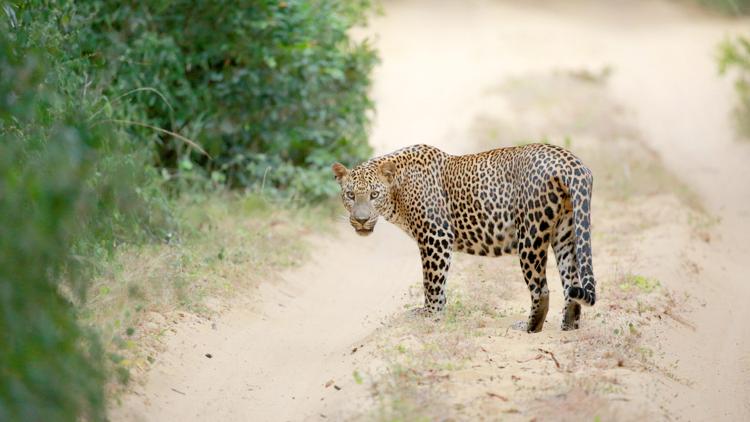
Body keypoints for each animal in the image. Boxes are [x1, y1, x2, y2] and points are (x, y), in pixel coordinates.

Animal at [334, 143, 600, 332]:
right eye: (350, 195)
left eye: (374, 194)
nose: (361, 219)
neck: (397, 190)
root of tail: (570, 162)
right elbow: (439, 283)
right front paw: (439, 314)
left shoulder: (435, 235)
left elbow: (432, 280)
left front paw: (429, 314)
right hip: (565, 233)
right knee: (571, 282)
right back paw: (568, 326)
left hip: (530, 234)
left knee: (541, 289)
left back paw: (528, 328)